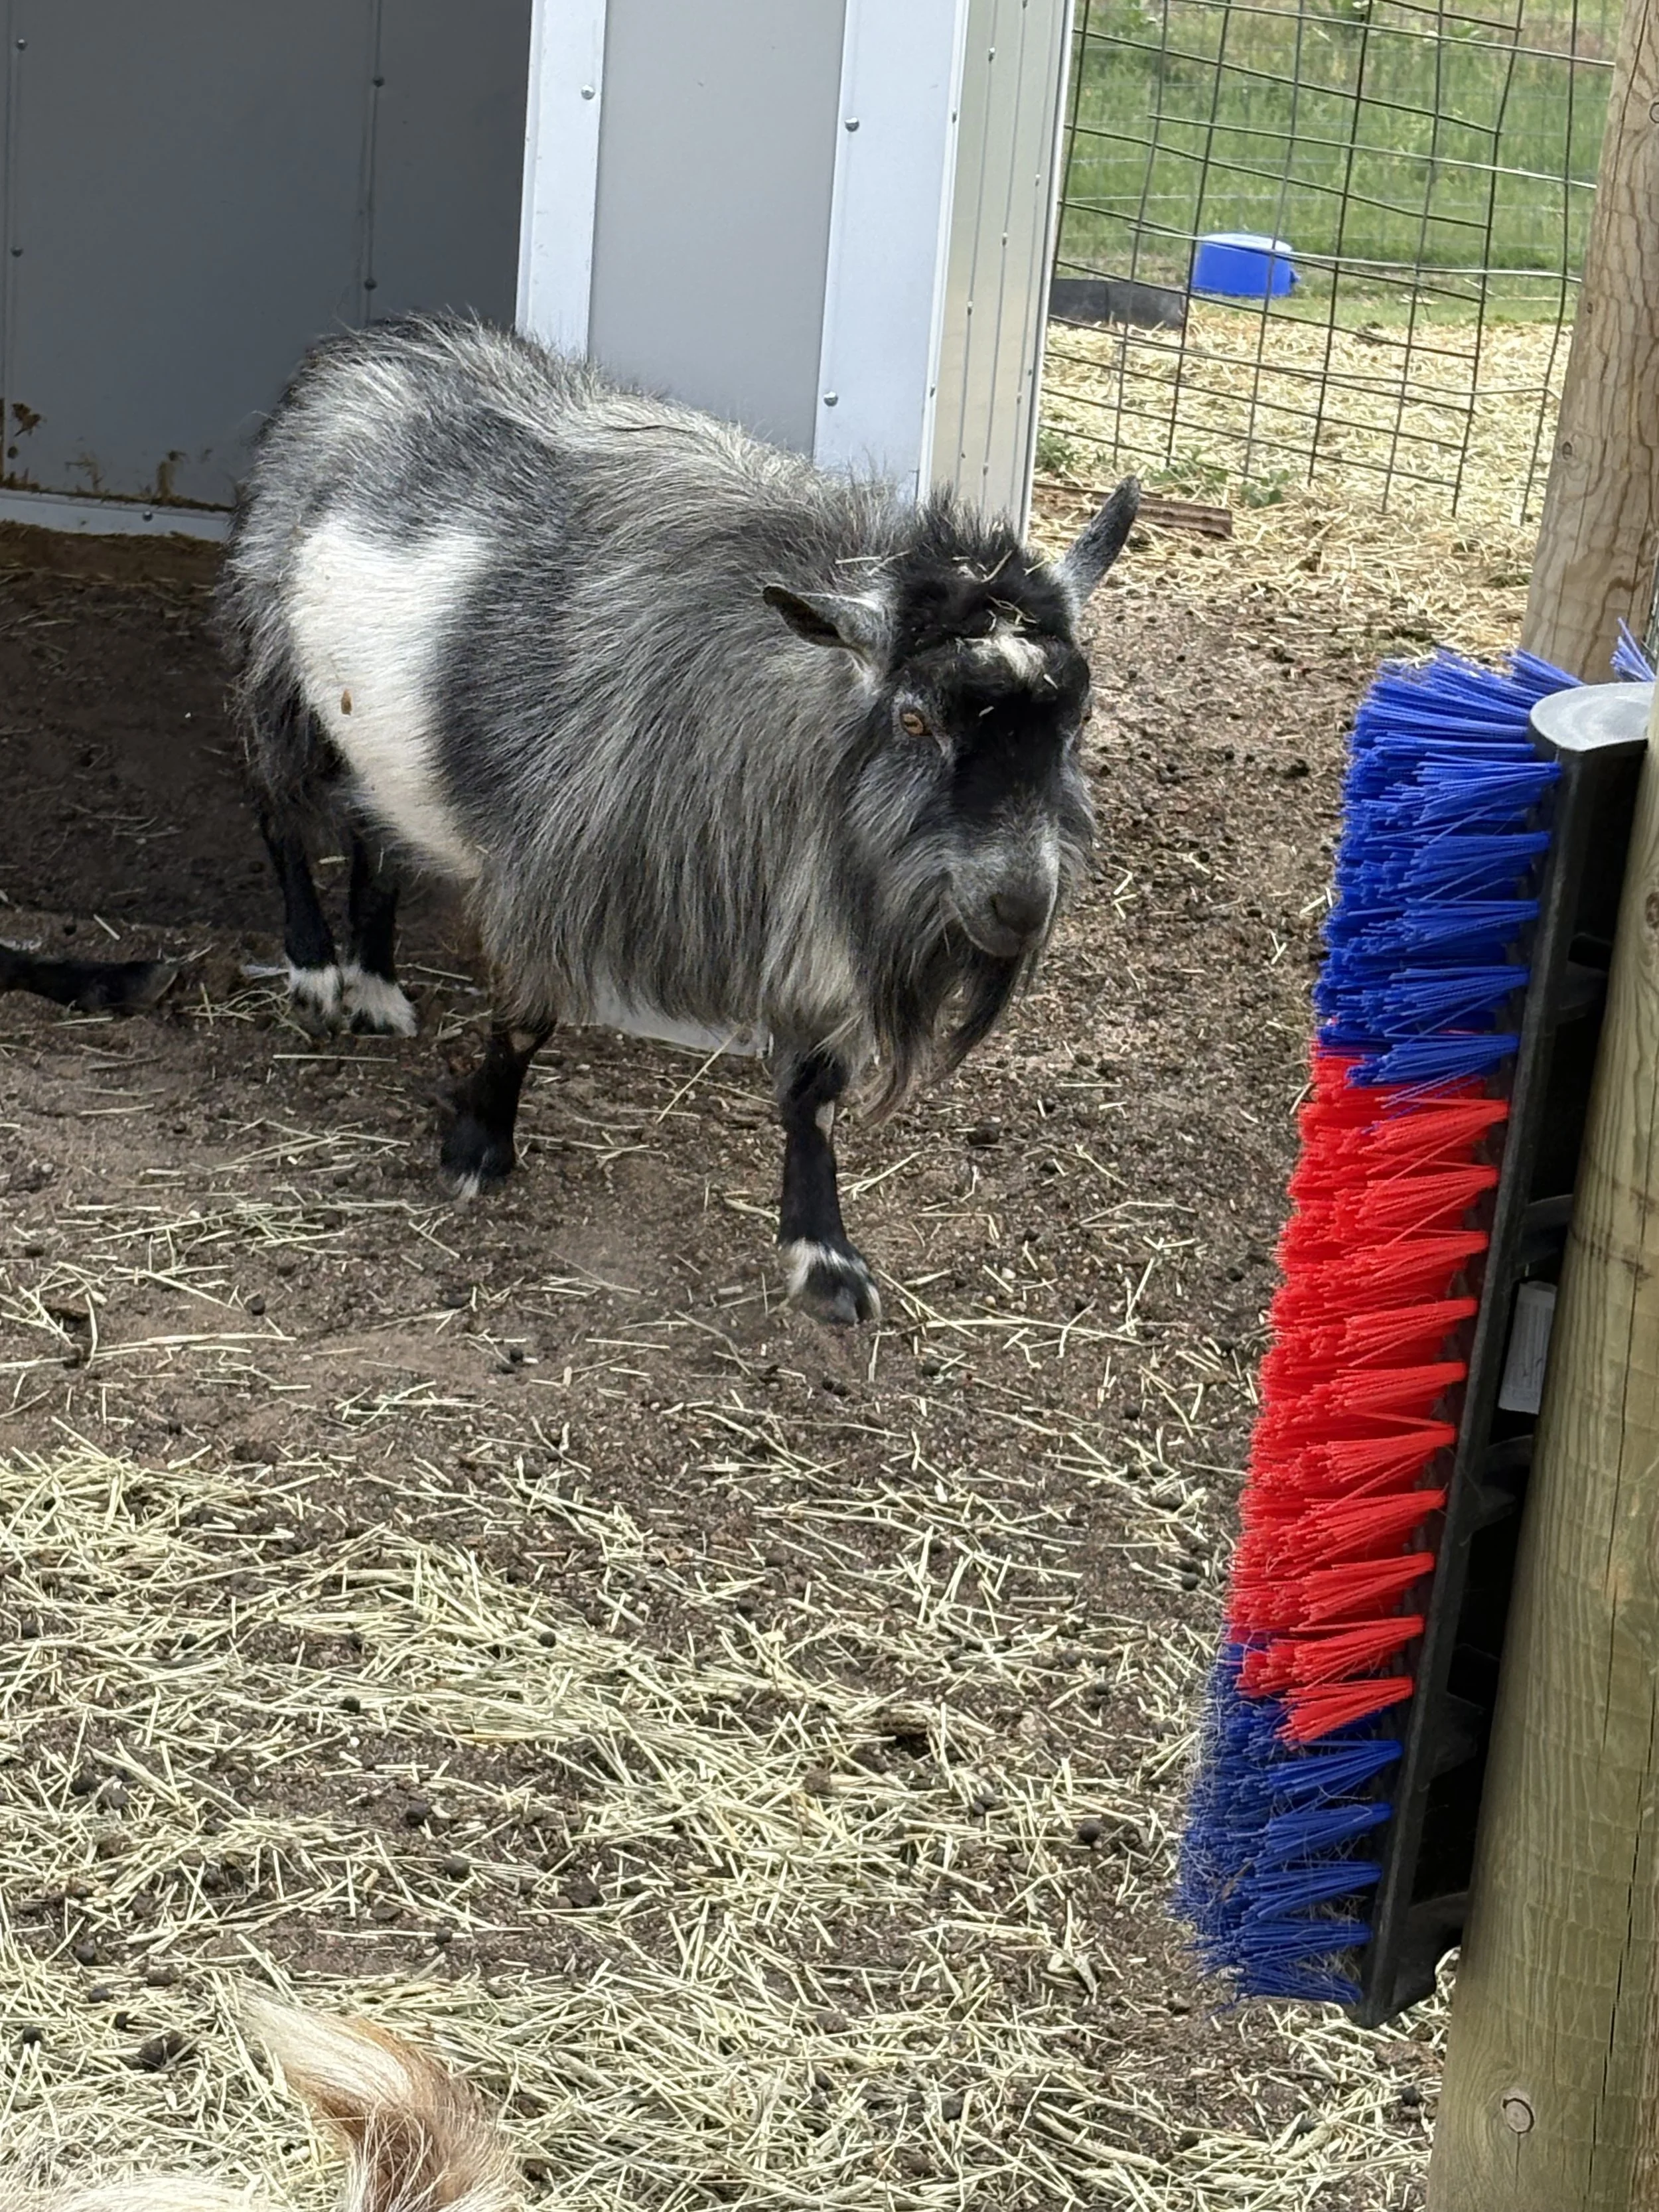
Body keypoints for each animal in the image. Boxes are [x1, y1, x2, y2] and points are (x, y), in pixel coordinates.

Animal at [220, 318, 1137, 1323]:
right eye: (912, 720)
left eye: (1080, 717)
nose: (1021, 903)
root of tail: (372, 351)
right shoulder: (549, 866)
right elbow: (525, 1019)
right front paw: (478, 1146)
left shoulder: (808, 916)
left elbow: (816, 1094)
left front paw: (823, 1253)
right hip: (277, 679)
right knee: (277, 816)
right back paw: (317, 970)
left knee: (374, 839)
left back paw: (378, 984)